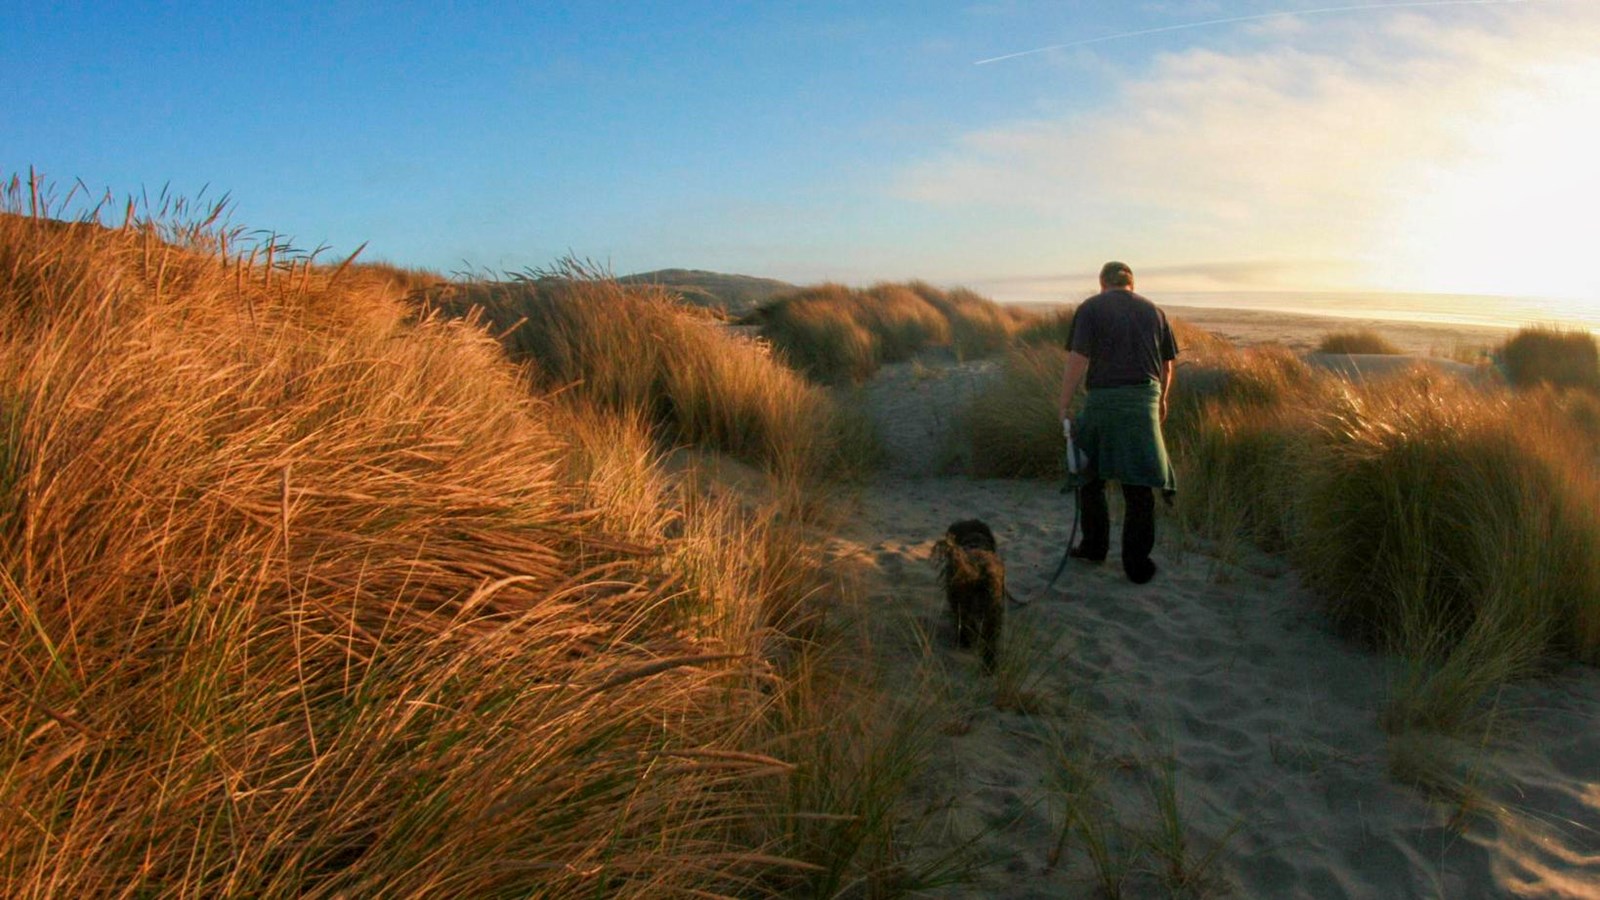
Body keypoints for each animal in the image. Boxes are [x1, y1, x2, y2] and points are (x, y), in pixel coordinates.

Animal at [934, 515, 1004, 669]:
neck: (974, 541)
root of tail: (978, 568)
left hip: (963, 601)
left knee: (964, 623)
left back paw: (964, 642)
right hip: (993, 609)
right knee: (990, 638)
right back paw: (990, 665)